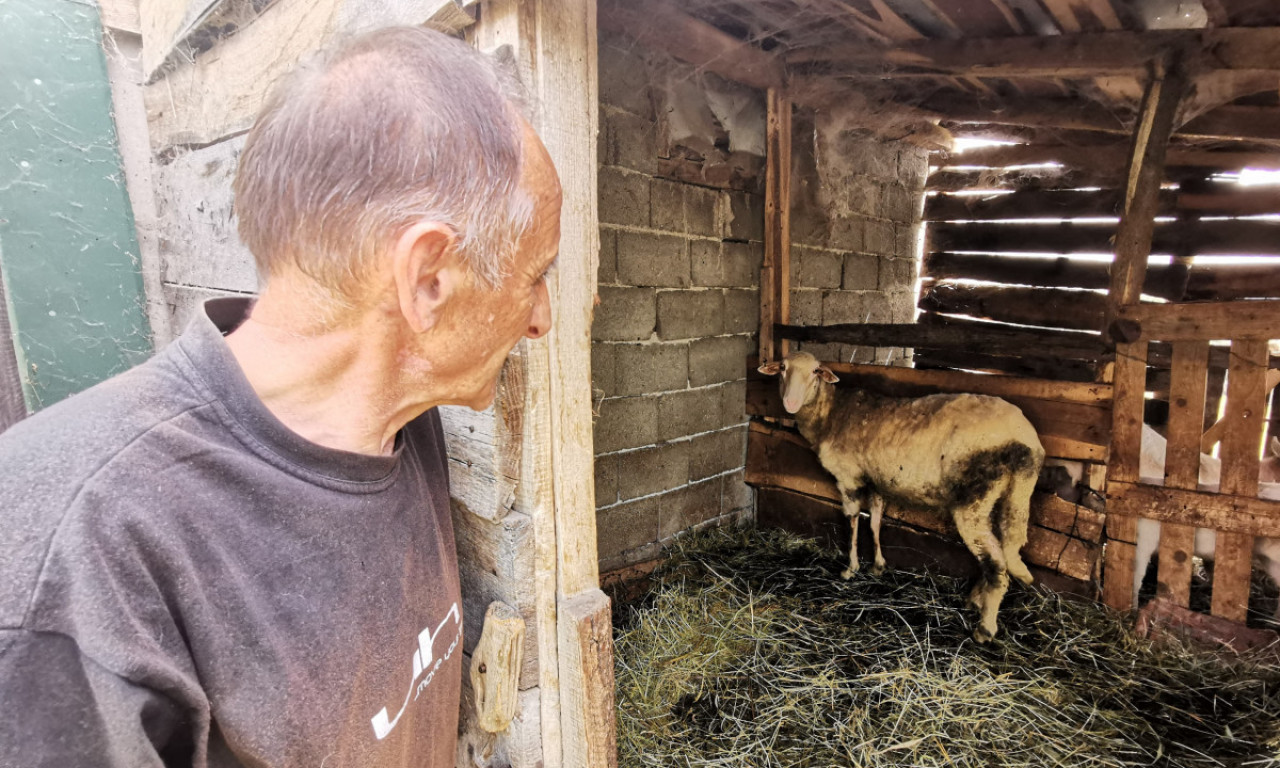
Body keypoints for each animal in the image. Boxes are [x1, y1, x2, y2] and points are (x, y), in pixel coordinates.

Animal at [757, 350, 1039, 640]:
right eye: (782, 367)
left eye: (815, 371)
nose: (790, 402)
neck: (830, 413)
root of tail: (1027, 441)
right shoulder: (877, 482)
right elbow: (875, 521)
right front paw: (878, 566)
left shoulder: (848, 477)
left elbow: (852, 520)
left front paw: (850, 568)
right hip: (1011, 496)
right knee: (1001, 550)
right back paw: (975, 600)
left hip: (974, 499)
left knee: (995, 562)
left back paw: (984, 627)